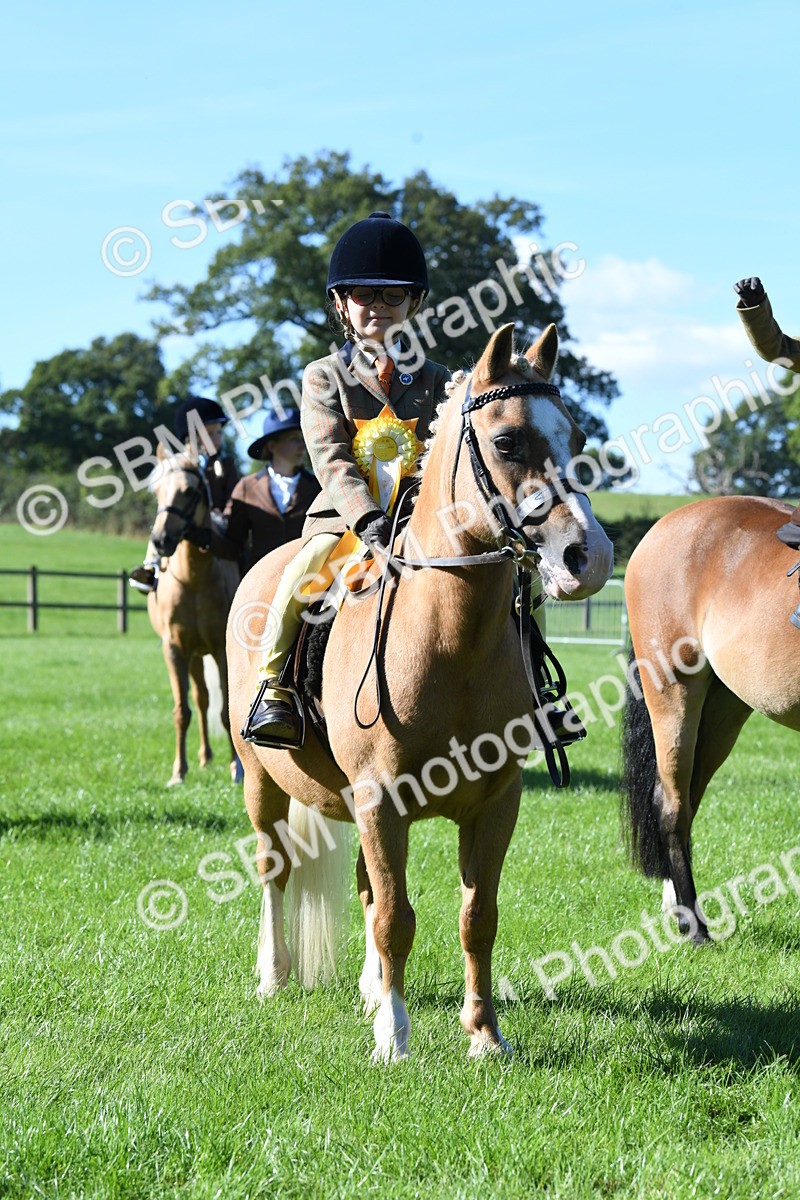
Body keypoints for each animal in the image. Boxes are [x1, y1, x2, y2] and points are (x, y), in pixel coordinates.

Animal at [147, 448, 241, 787]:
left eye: (189, 491)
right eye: (156, 492)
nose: (161, 539)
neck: (194, 579)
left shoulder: (221, 650)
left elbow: (226, 710)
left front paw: (236, 769)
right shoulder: (175, 649)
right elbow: (182, 710)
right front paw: (179, 771)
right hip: (193, 656)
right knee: (200, 701)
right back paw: (203, 757)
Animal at [227, 322, 614, 1060]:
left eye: (576, 436)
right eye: (507, 442)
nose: (591, 558)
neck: (449, 636)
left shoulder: (494, 803)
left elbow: (476, 916)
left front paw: (485, 1036)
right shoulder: (382, 802)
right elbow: (396, 918)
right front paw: (394, 1040)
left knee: (365, 888)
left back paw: (370, 988)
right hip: (262, 780)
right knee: (274, 869)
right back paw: (272, 975)